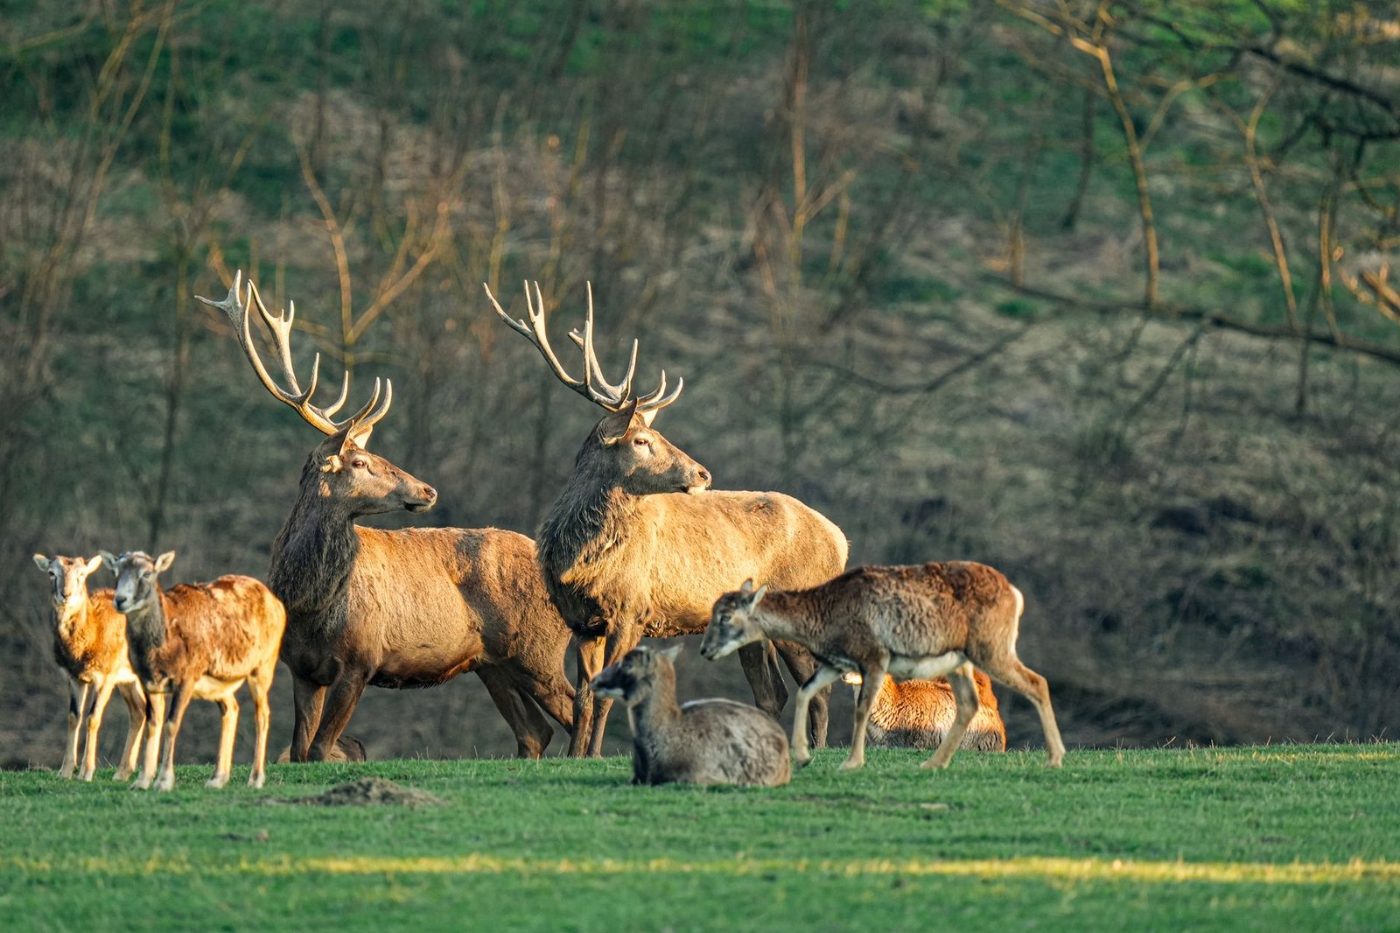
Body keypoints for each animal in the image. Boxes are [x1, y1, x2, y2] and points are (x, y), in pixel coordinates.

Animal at [31, 554, 146, 781]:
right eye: (51, 573)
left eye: (82, 574)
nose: (65, 594)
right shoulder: (75, 677)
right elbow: (73, 717)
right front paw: (65, 772)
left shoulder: (106, 676)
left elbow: (93, 718)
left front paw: (87, 772)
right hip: (128, 680)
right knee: (140, 711)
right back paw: (122, 773)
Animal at [101, 550, 284, 790]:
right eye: (116, 571)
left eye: (147, 573)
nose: (120, 600)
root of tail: (278, 605)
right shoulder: (148, 682)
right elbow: (152, 724)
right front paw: (142, 781)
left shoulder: (186, 678)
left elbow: (171, 723)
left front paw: (164, 781)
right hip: (219, 685)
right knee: (231, 709)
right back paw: (217, 779)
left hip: (262, 668)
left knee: (262, 714)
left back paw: (255, 779)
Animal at [198, 273, 575, 762]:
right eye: (360, 461)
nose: (428, 489)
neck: (309, 606)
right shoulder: (301, 668)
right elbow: (300, 750)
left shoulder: (362, 658)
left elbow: (319, 750)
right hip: (492, 664)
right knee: (535, 732)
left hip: (538, 650)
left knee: (580, 706)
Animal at [486, 280, 849, 757]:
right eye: (641, 440)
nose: (702, 473)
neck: (581, 563)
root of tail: (840, 538)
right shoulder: (583, 622)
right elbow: (584, 696)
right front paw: (574, 756)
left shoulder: (632, 610)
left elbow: (611, 694)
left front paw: (596, 755)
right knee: (774, 692)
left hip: (799, 603)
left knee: (819, 687)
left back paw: (814, 751)